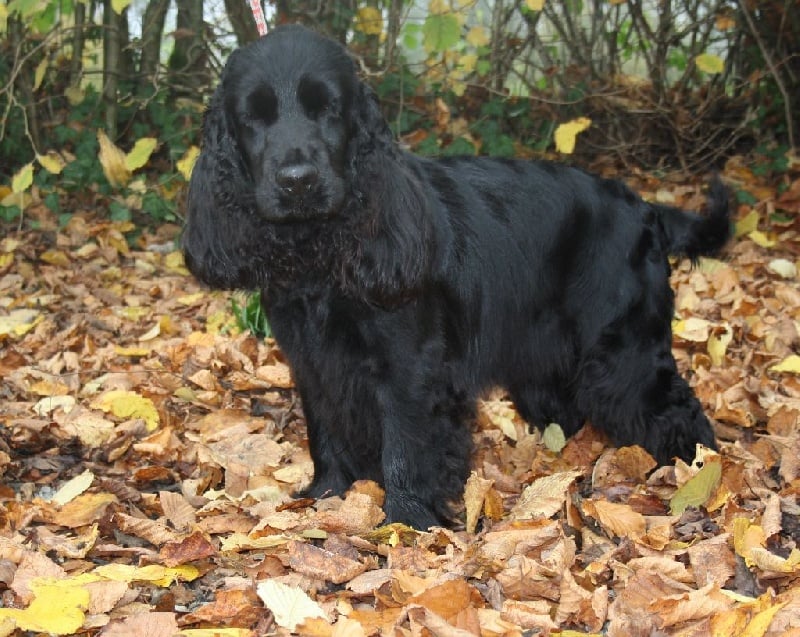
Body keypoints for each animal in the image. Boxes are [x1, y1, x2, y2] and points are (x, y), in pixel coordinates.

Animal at [182, 24, 731, 529]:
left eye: (329, 109)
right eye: (253, 117)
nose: (298, 182)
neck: (323, 251)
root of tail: (646, 209)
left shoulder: (411, 367)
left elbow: (405, 449)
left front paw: (404, 525)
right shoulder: (314, 361)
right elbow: (327, 430)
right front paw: (326, 498)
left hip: (623, 350)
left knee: (677, 408)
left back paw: (697, 478)